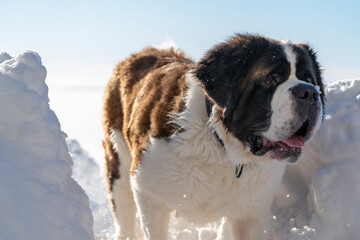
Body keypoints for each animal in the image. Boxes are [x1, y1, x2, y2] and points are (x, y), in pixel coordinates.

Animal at [101, 34, 324, 240]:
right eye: (272, 78)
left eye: (310, 80)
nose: (309, 92)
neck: (222, 146)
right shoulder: (149, 194)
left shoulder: (251, 214)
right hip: (119, 161)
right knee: (124, 211)